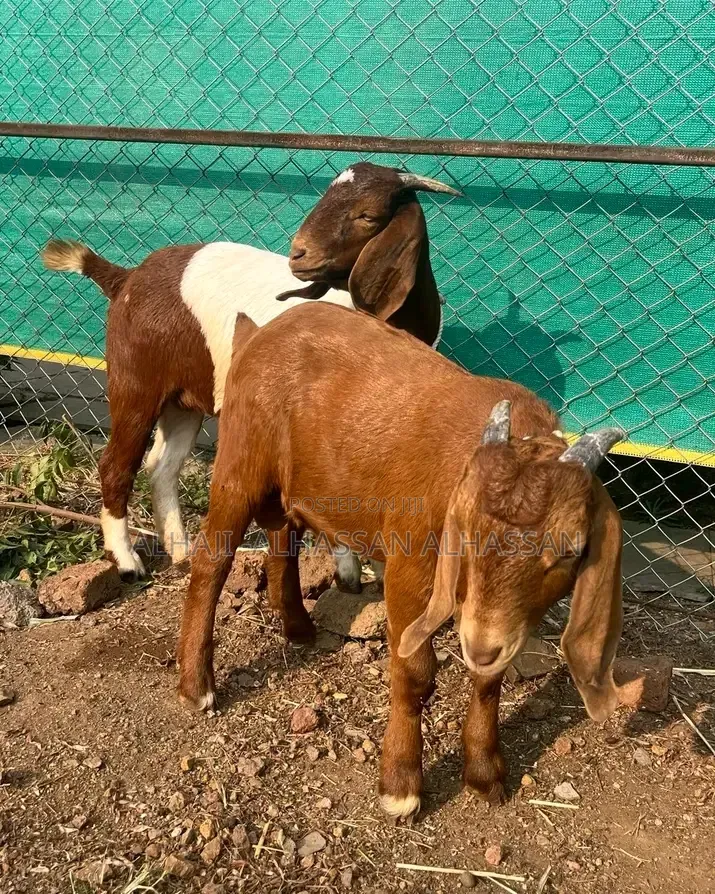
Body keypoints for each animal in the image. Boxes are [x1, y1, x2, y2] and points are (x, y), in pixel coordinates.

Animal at [41, 163, 459, 583]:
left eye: (368, 215)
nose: (298, 253)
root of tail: (125, 279)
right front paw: (349, 570)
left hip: (184, 398)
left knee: (162, 467)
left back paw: (180, 551)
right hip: (136, 382)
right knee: (116, 465)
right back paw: (127, 562)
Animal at [177, 301, 625, 820]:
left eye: (570, 549)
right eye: (464, 533)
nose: (481, 646)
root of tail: (259, 333)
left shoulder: (500, 619)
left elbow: (489, 678)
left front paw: (485, 774)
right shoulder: (410, 572)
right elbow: (415, 674)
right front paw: (401, 784)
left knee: (282, 535)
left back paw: (298, 627)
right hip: (240, 457)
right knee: (212, 559)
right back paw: (197, 685)